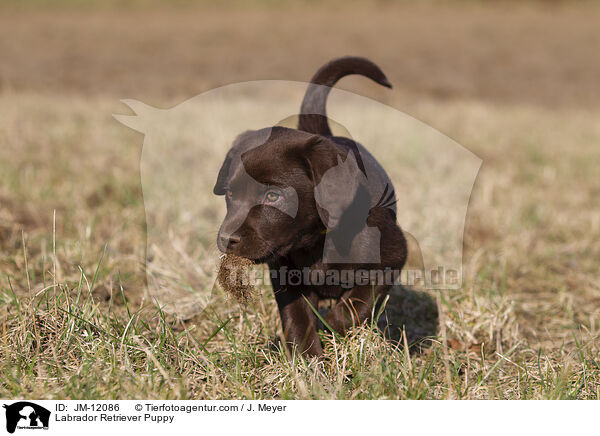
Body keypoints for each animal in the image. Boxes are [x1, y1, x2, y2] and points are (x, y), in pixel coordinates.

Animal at [216, 56, 408, 356]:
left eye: (273, 196)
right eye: (230, 194)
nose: (225, 239)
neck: (317, 242)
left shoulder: (392, 258)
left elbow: (356, 305)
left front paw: (331, 327)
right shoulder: (286, 275)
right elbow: (297, 318)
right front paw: (308, 359)